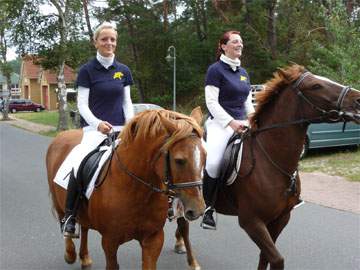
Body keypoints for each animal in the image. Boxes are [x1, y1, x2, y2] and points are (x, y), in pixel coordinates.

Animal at [45, 108, 205, 270]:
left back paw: (85, 258)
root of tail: (62, 135)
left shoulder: (153, 239)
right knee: (64, 220)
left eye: (205, 156)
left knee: (84, 226)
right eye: (179, 160)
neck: (135, 190)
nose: (198, 209)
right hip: (59, 203)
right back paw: (70, 253)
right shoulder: (109, 241)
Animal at [174, 64, 360, 268]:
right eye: (316, 86)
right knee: (183, 224)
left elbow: (265, 256)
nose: (358, 99)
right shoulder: (251, 221)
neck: (271, 159)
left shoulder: (280, 218)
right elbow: (277, 259)